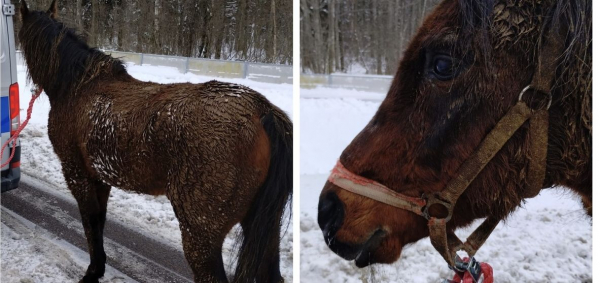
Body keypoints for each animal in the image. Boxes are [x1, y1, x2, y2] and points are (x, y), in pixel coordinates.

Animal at [18, 1, 290, 282]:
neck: (79, 86)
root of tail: (261, 110)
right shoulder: (100, 178)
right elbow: (100, 220)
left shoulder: (77, 173)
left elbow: (90, 222)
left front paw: (93, 271)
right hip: (265, 229)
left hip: (201, 233)